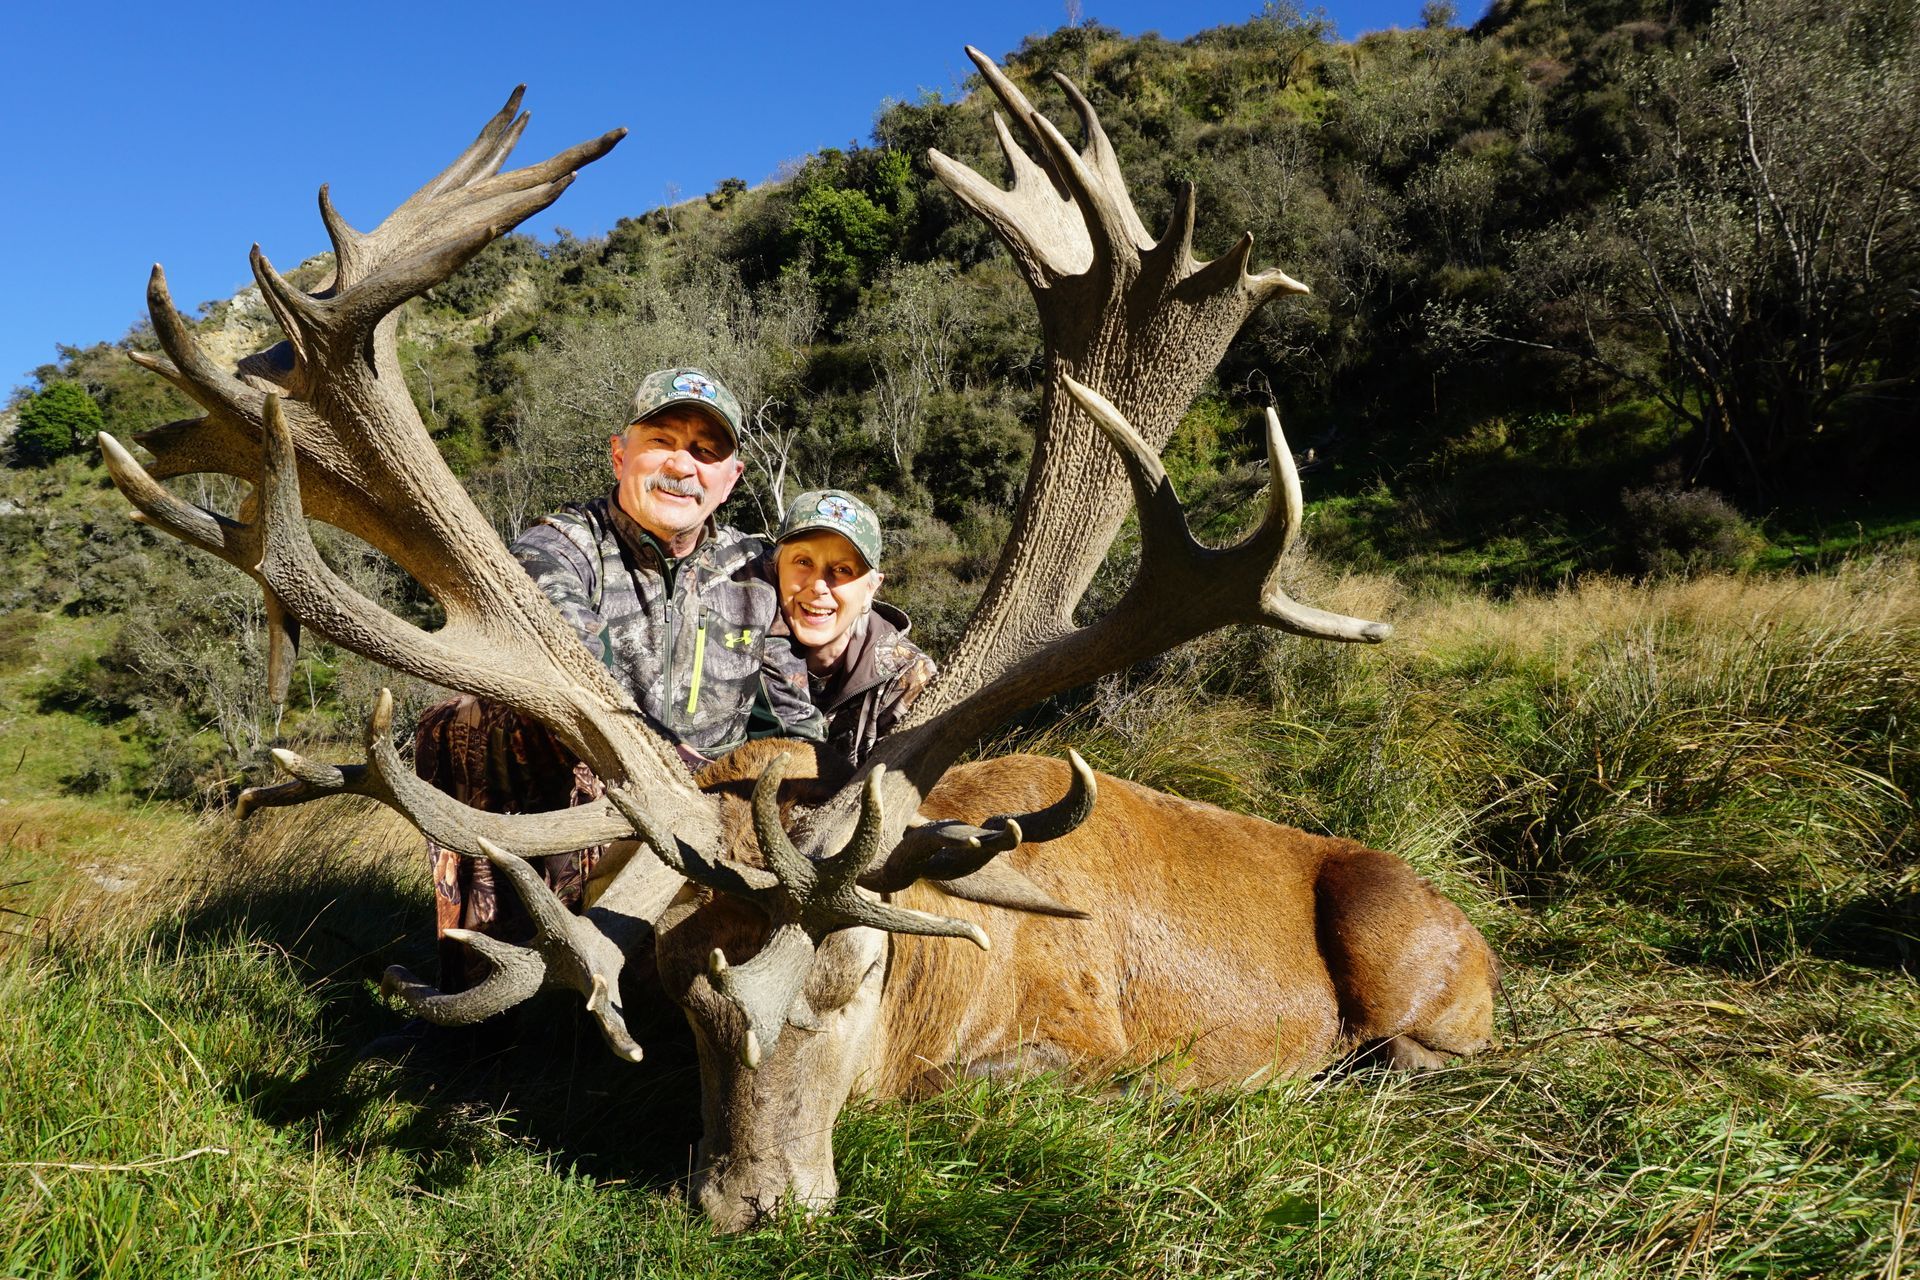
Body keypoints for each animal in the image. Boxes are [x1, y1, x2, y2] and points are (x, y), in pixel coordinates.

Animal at [99, 51, 1496, 1233]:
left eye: (859, 974)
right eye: (684, 993)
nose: (749, 1201)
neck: (938, 989)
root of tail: (1467, 925)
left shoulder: (1073, 1041)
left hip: (1409, 954)